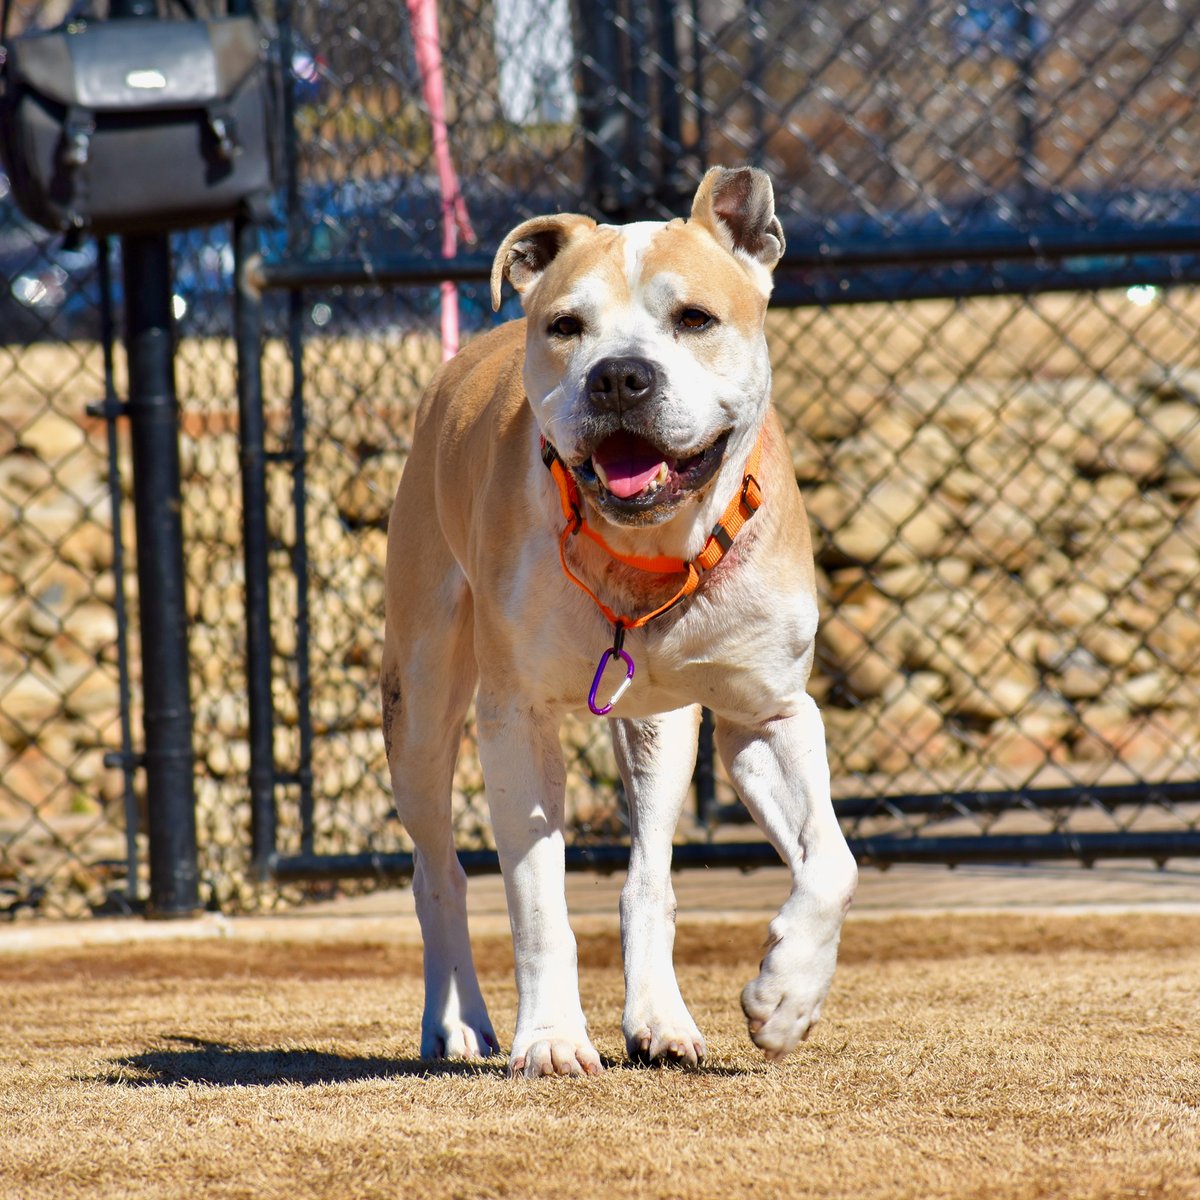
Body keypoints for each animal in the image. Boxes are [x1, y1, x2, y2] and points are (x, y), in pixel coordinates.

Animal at [379, 166, 859, 1080]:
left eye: (695, 318)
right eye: (568, 326)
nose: (619, 377)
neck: (649, 552)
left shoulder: (769, 715)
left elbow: (832, 862)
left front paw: (786, 998)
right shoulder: (514, 720)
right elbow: (538, 902)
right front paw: (550, 1039)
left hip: (659, 731)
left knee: (649, 877)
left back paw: (661, 1021)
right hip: (419, 704)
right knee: (438, 875)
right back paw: (455, 1023)